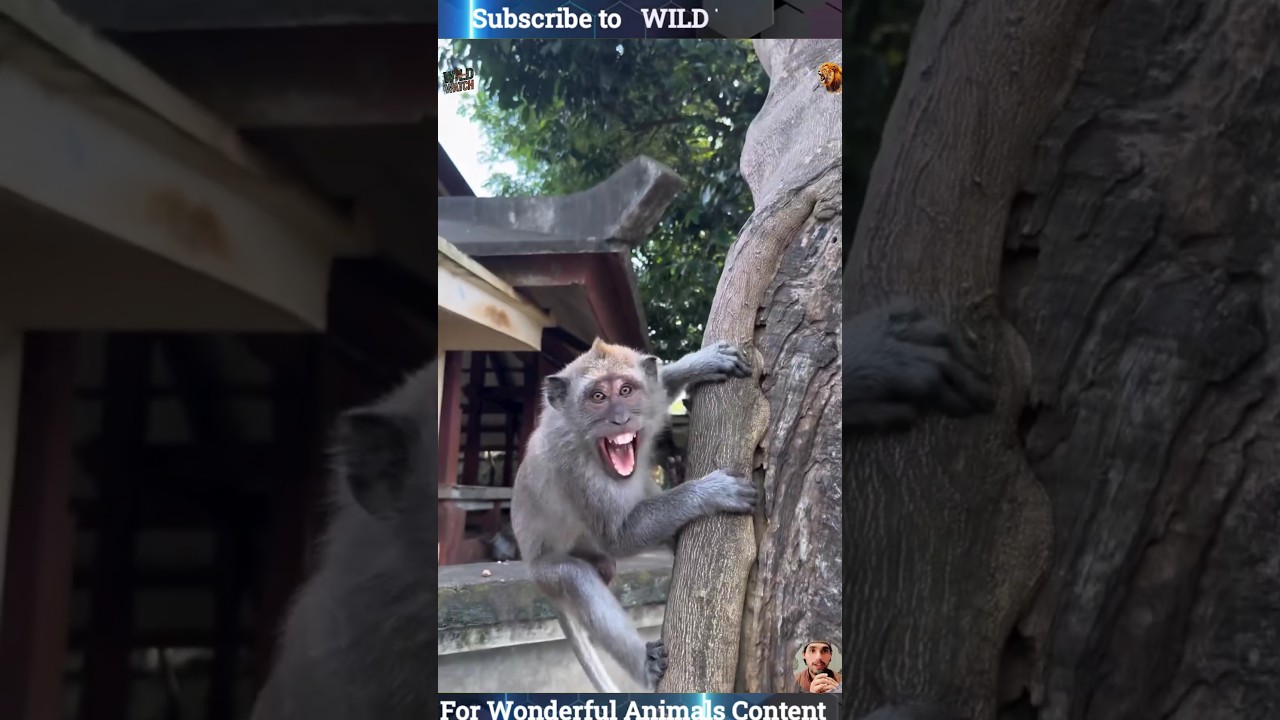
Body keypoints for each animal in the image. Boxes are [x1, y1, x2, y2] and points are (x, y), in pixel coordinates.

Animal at [511, 338, 757, 692]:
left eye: (626, 390)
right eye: (598, 397)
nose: (621, 419)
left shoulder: (649, 405)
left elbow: (662, 387)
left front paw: (702, 362)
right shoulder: (572, 468)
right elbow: (617, 538)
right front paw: (712, 491)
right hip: (546, 571)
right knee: (576, 578)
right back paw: (645, 666)